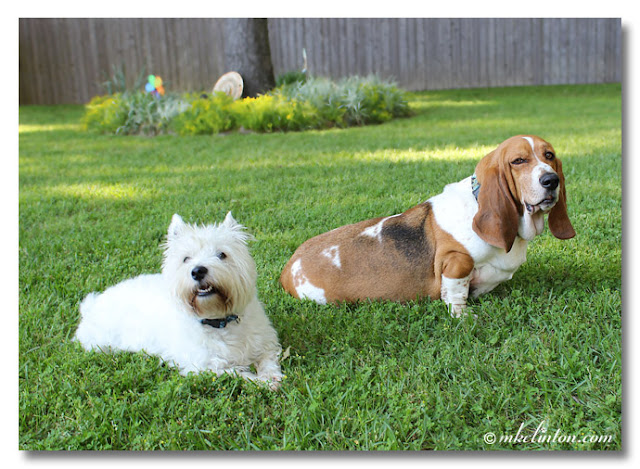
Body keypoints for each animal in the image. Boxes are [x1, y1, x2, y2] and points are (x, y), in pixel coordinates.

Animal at [75, 212, 282, 388]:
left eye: (222, 254)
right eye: (186, 258)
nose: (198, 271)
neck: (219, 320)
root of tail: (92, 305)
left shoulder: (265, 341)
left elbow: (268, 359)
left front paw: (271, 377)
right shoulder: (205, 366)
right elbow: (238, 373)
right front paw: (260, 381)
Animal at [278, 134, 576, 314]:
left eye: (549, 156)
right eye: (518, 161)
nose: (551, 181)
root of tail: (289, 267)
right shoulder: (455, 261)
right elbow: (456, 292)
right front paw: (463, 316)